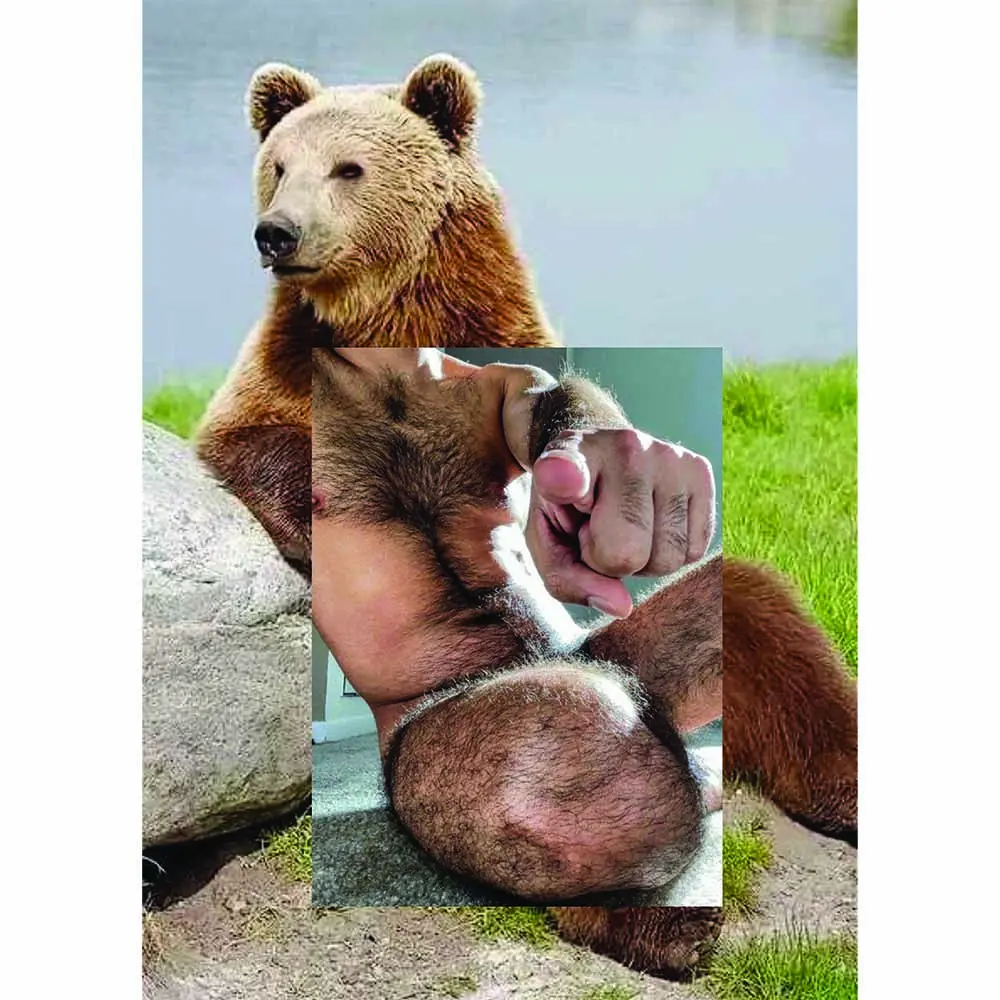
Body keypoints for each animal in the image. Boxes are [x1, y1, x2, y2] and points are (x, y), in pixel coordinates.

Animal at [196, 52, 857, 980]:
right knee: (542, 789)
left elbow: (541, 397)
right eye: (278, 166)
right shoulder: (281, 371)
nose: (276, 234)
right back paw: (662, 922)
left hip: (634, 647)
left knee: (760, 615)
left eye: (348, 168)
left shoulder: (475, 341)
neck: (378, 316)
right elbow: (257, 444)